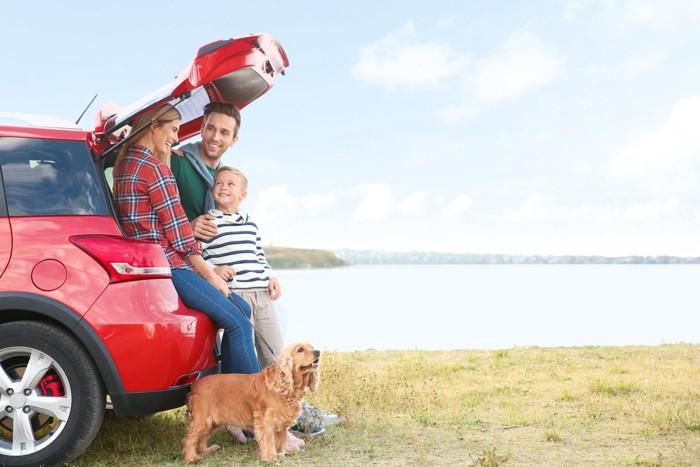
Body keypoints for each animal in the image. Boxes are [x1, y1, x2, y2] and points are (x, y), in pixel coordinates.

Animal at [182, 344, 322, 464]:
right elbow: (269, 439)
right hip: (202, 419)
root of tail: (195, 385)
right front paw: (270, 456)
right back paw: (191, 458)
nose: (318, 351)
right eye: (300, 350)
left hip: (213, 421)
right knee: (191, 437)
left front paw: (283, 452)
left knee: (203, 436)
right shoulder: (266, 420)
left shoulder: (282, 420)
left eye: (311, 347)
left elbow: (282, 438)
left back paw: (207, 450)